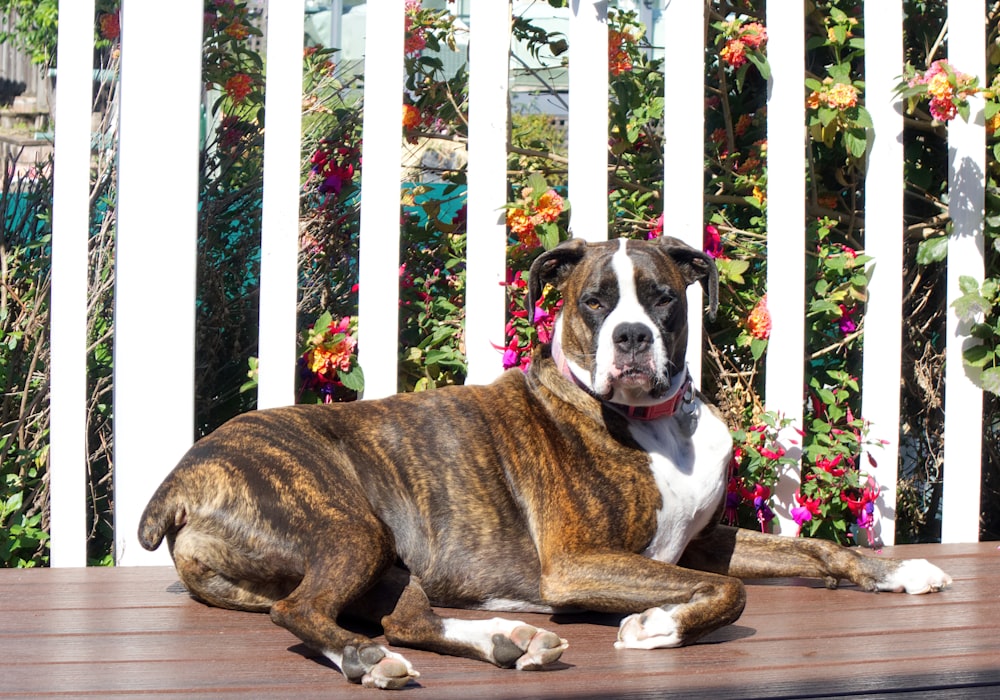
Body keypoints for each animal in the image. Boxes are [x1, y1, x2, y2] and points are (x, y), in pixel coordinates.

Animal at [141, 235, 952, 688]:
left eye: (661, 297)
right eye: (594, 301)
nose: (631, 336)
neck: (661, 424)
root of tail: (181, 479)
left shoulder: (706, 542)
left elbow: (814, 549)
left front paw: (898, 571)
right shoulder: (579, 561)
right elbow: (728, 594)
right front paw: (659, 625)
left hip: (390, 560)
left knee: (407, 619)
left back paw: (505, 641)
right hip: (347, 526)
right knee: (303, 611)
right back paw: (367, 663)